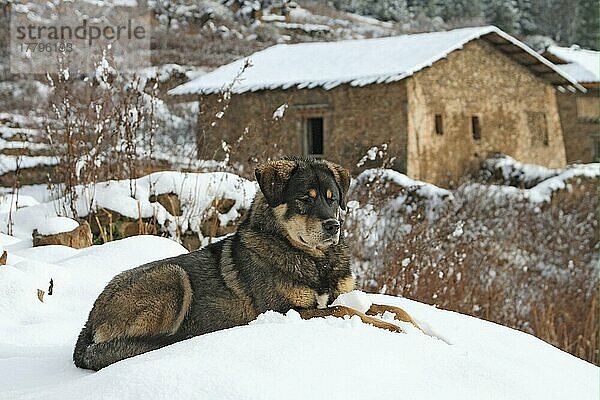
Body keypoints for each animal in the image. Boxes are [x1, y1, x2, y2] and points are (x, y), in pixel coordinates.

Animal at [74, 158, 422, 370]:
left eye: (331, 197)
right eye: (305, 199)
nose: (333, 226)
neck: (313, 260)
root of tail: (87, 324)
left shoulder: (341, 294)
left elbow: (396, 308)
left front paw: (425, 333)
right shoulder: (289, 310)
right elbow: (346, 311)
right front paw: (393, 330)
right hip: (173, 277)